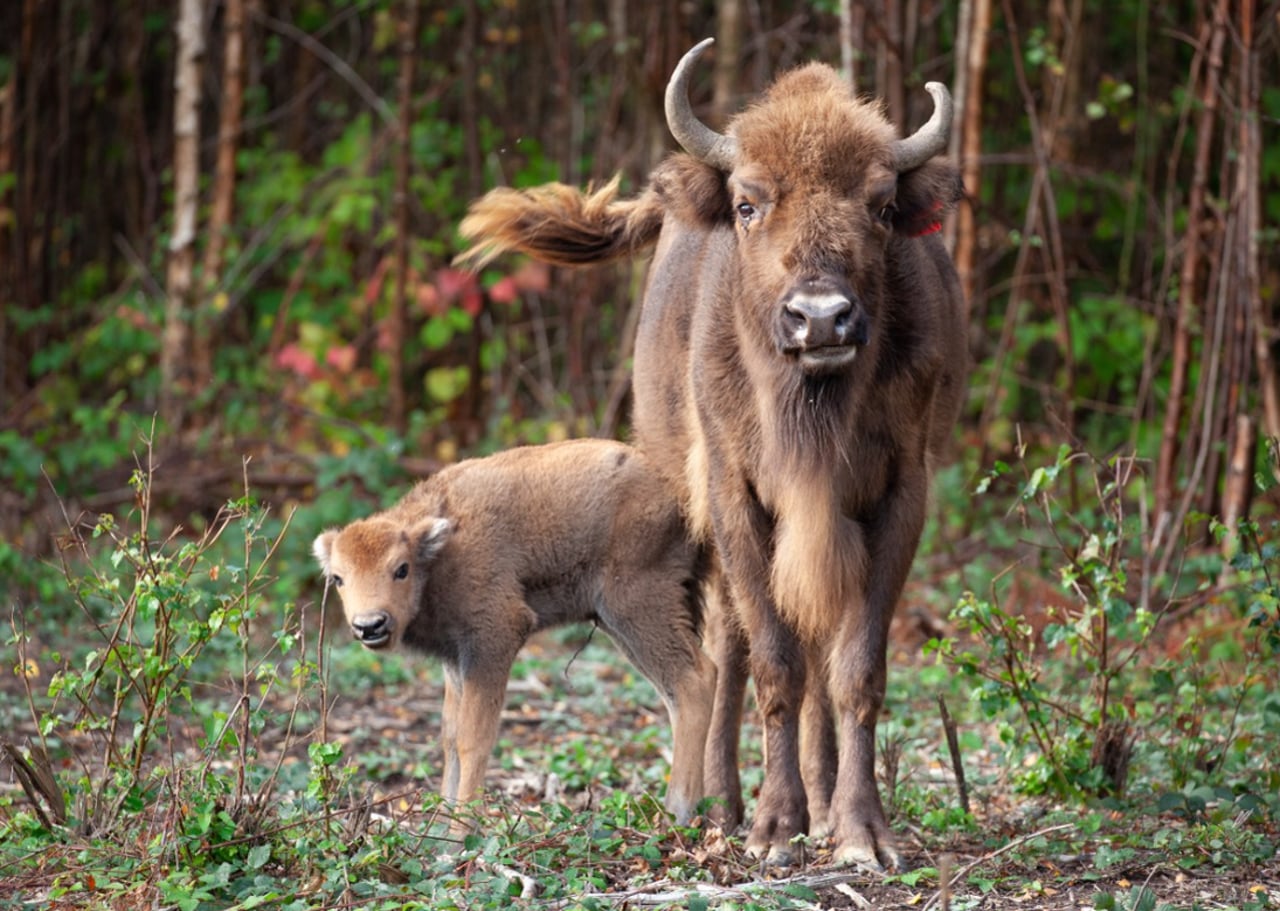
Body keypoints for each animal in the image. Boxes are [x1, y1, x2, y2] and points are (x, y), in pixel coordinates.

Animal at [305, 440, 716, 823]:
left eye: (401, 569)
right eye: (338, 578)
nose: (370, 624)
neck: (438, 555)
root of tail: (677, 492)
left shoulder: (494, 638)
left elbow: (473, 738)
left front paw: (460, 834)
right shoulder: (456, 659)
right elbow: (449, 737)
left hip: (636, 607)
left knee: (694, 681)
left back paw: (677, 812)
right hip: (626, 624)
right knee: (676, 694)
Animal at [455, 39, 962, 870]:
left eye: (883, 206)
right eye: (749, 205)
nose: (820, 319)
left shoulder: (897, 497)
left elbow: (855, 667)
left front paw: (859, 831)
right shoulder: (735, 496)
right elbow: (774, 662)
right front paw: (774, 827)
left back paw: (820, 800)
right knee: (728, 653)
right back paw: (725, 804)